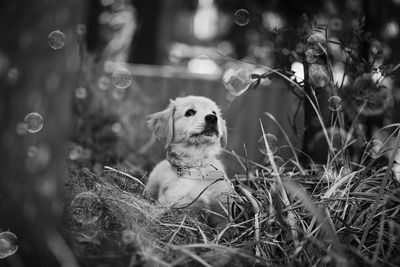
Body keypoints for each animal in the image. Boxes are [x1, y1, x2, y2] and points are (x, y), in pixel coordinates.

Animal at [147, 96, 234, 226]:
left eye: (214, 112)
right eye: (190, 112)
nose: (212, 118)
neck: (197, 167)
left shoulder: (223, 206)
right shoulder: (183, 206)